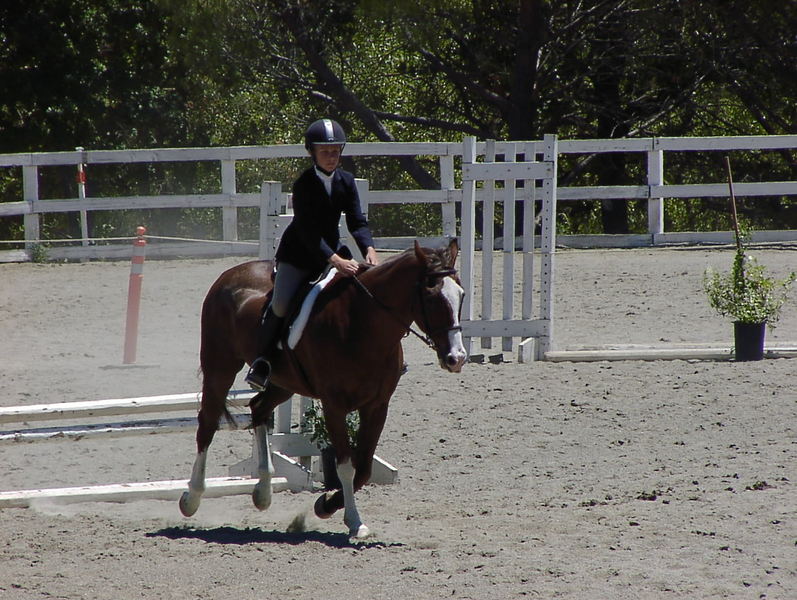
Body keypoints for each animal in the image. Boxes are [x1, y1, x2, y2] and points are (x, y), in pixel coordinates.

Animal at [179, 239, 467, 538]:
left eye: (461, 295)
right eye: (432, 296)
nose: (456, 358)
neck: (362, 323)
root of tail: (229, 275)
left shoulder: (377, 406)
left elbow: (364, 468)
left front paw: (326, 505)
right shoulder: (334, 405)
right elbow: (346, 466)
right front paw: (353, 521)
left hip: (283, 383)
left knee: (258, 409)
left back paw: (263, 492)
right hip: (220, 367)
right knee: (208, 422)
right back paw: (192, 498)